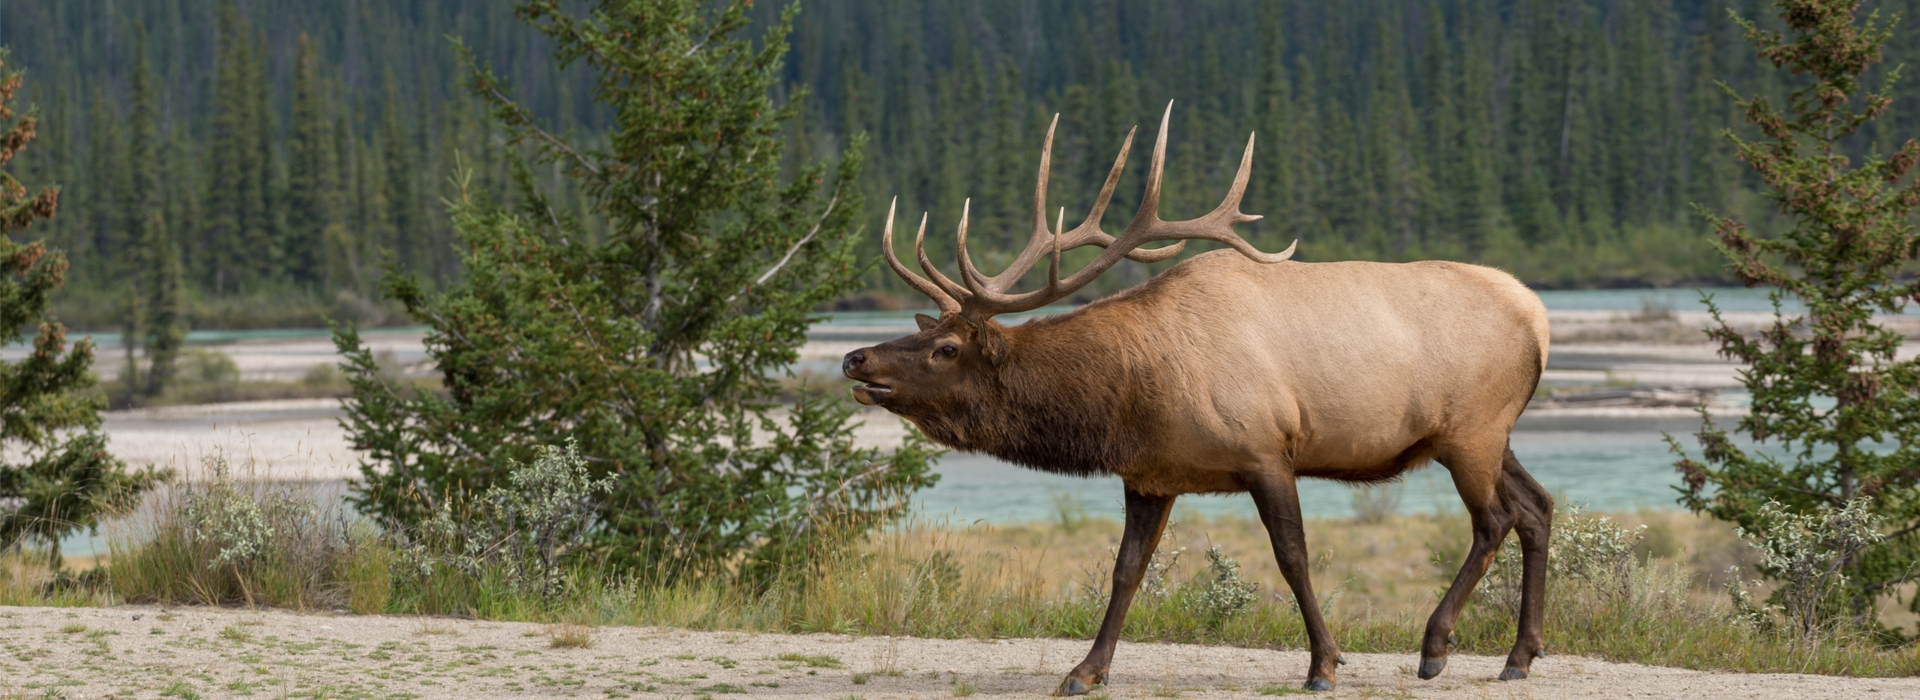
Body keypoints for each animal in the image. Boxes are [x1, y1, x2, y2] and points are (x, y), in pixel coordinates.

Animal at [840, 103, 1553, 694]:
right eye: (924, 332)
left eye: (945, 348)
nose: (855, 357)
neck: (1129, 399)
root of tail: (1540, 316)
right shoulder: (1151, 475)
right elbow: (1126, 570)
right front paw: (1084, 671)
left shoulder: (1266, 450)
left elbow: (1292, 555)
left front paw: (1324, 663)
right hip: (1495, 435)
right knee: (1537, 507)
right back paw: (1519, 656)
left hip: (1470, 431)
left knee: (1494, 519)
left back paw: (1436, 647)